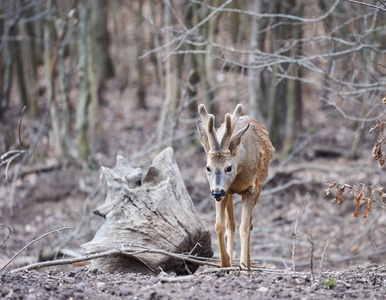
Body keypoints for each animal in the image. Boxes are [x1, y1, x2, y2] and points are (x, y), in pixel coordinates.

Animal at [196, 102, 274, 268]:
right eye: (208, 167)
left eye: (229, 167)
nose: (216, 192)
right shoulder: (225, 191)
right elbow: (219, 226)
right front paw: (225, 263)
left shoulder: (251, 189)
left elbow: (244, 227)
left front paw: (244, 267)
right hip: (229, 194)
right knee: (230, 225)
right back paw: (231, 264)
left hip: (259, 186)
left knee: (248, 224)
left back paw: (248, 264)